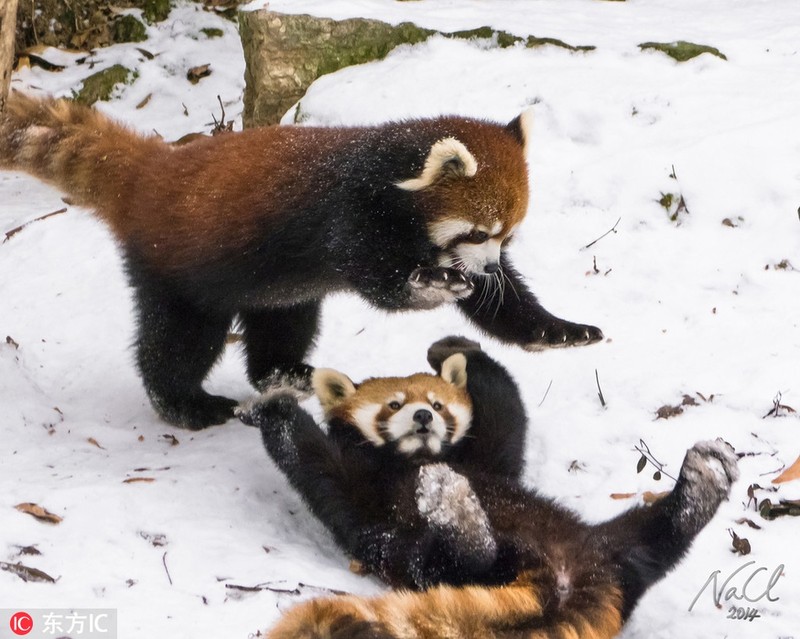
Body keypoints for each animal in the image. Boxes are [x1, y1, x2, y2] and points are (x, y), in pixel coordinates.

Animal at [0, 94, 600, 430]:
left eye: (508, 236)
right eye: (479, 232)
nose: (487, 269)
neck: (386, 175)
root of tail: (153, 171)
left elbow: (505, 307)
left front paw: (557, 330)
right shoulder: (349, 215)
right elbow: (383, 286)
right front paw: (432, 282)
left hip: (277, 287)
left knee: (282, 328)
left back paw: (290, 371)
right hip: (180, 267)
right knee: (178, 342)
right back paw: (185, 405)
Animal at [241, 336, 740, 639]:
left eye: (438, 403)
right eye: (394, 405)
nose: (423, 416)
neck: (417, 459)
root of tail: (565, 578)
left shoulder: (490, 461)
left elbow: (505, 410)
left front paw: (453, 346)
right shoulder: (362, 494)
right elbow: (316, 465)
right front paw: (274, 403)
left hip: (603, 544)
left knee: (654, 539)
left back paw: (702, 485)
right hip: (422, 558)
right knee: (461, 561)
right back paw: (458, 513)